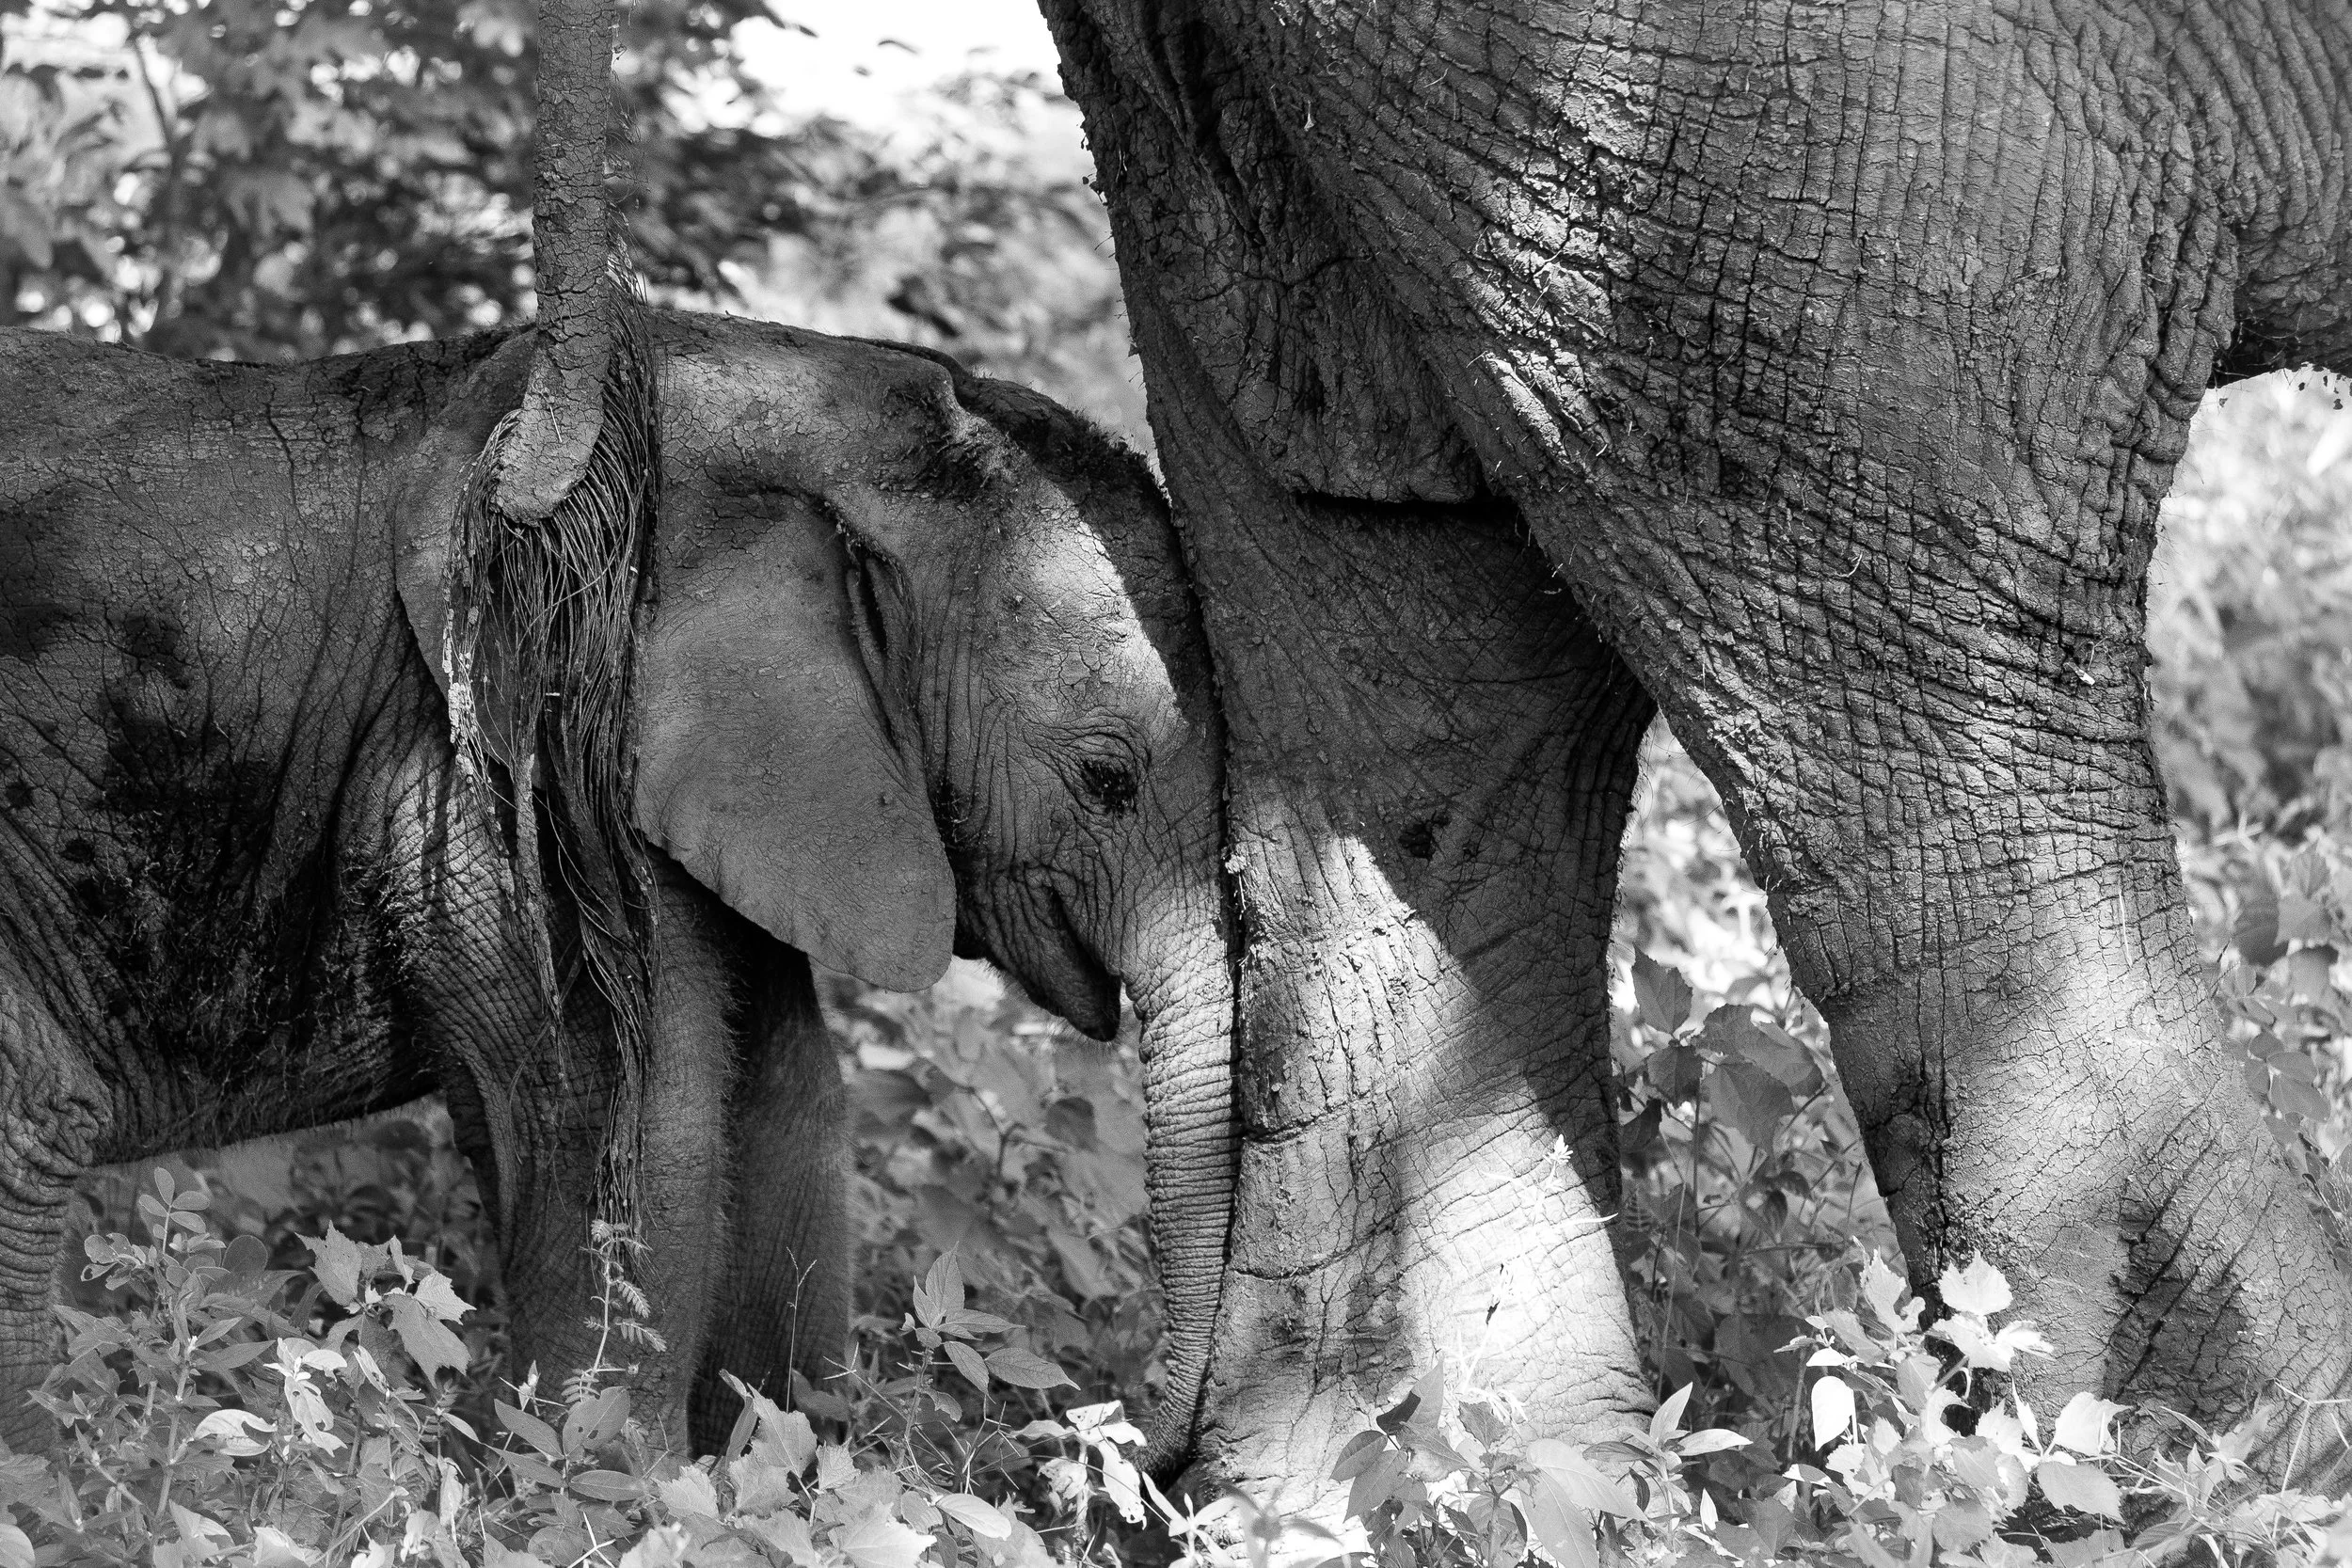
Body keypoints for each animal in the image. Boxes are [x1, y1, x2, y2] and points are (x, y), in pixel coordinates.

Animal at [0, 307, 1226, 1452]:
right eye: (1107, 776)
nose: (1146, 1441)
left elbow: (786, 1101)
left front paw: (789, 1466)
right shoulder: (514, 749)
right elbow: (620, 1117)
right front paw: (606, 1489)